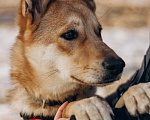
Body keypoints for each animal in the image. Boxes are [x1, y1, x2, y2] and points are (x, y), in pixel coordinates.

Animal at [8, 0, 150, 120]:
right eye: (69, 34)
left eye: (99, 32)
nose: (118, 65)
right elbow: (67, 107)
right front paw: (86, 105)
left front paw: (136, 92)